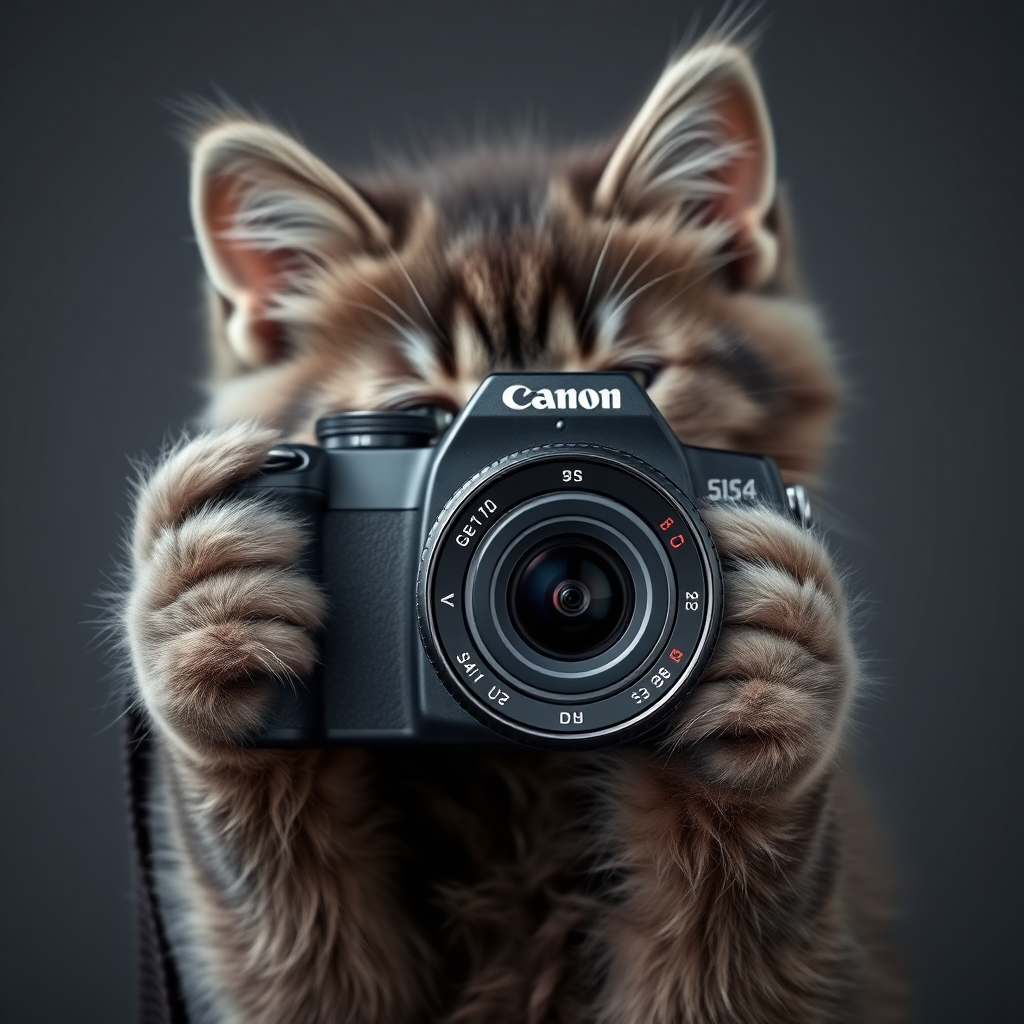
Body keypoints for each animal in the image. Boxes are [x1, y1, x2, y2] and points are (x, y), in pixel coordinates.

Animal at [125, 39, 905, 1024]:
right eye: (415, 419)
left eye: (638, 379)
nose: (570, 592)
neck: (523, 779)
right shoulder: (304, 975)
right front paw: (212, 633)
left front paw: (768, 696)